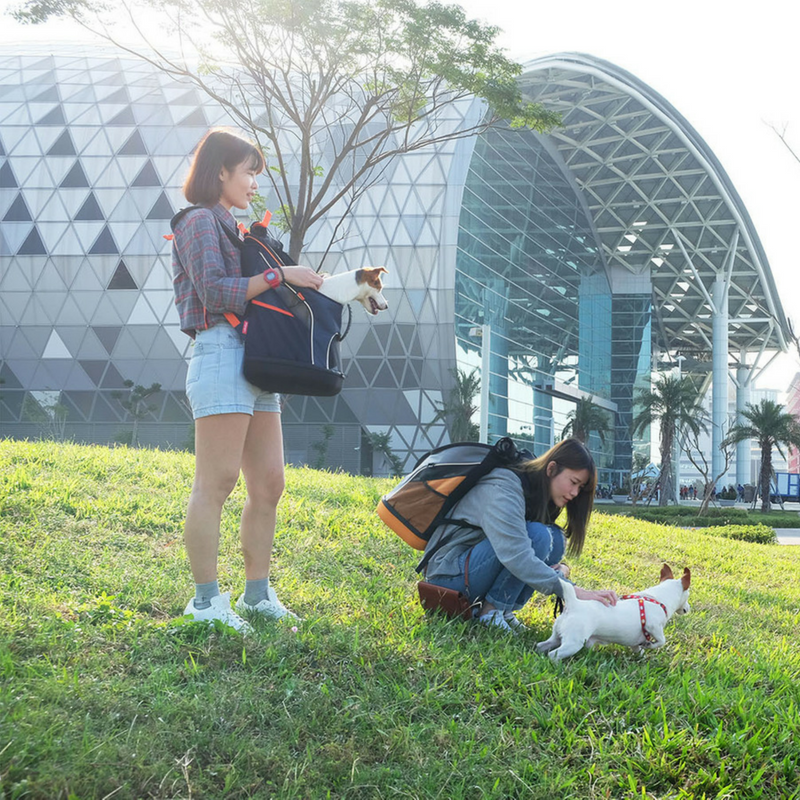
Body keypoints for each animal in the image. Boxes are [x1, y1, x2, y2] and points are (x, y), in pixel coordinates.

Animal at [536, 564, 692, 664]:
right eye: (688, 595)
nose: (689, 608)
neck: (658, 598)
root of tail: (574, 604)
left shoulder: (635, 643)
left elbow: (639, 650)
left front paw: (643, 656)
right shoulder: (653, 626)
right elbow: (661, 641)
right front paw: (649, 645)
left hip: (557, 636)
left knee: (543, 645)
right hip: (573, 643)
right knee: (553, 654)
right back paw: (558, 666)